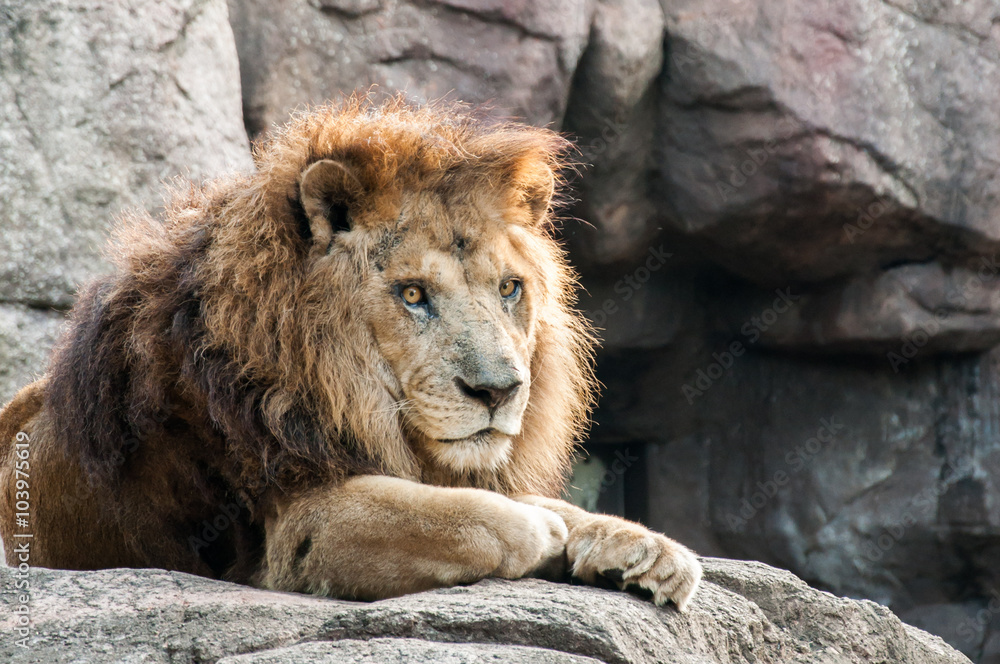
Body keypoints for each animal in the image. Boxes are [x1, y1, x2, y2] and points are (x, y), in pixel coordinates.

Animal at [0, 95, 701, 610]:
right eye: (413, 294)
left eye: (509, 289)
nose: (500, 391)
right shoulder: (294, 531)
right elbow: (467, 517)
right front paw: (544, 531)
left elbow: (518, 501)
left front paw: (643, 547)